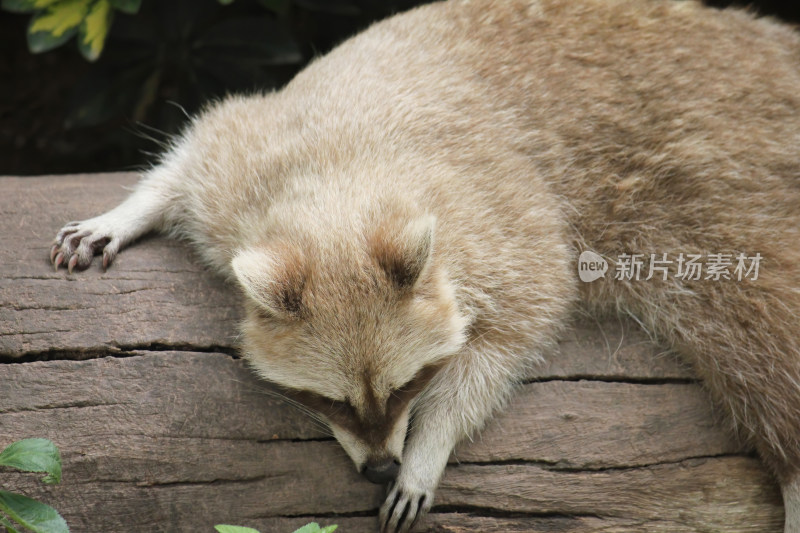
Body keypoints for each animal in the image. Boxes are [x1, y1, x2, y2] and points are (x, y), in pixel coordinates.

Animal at [48, 0, 800, 528]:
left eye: (408, 386)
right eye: (328, 400)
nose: (381, 470)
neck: (344, 191)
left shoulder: (511, 220)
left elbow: (517, 331)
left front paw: (434, 439)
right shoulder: (251, 164)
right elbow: (196, 150)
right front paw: (130, 207)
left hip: (723, 180)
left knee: (763, 321)